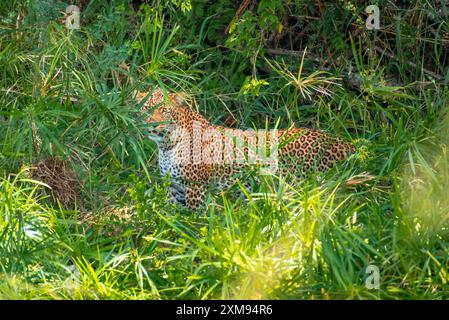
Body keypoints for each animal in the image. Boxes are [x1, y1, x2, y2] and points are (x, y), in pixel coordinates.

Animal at [135, 88, 356, 210]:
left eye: (164, 110)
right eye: (146, 108)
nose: (152, 126)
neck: (166, 145)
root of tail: (347, 144)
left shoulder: (195, 187)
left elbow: (193, 218)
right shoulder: (175, 188)